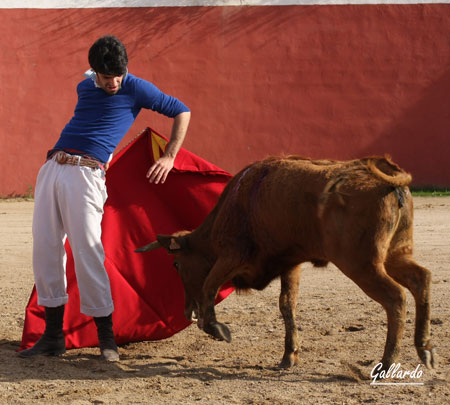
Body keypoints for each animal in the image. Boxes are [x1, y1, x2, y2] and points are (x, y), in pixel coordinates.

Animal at [134, 155, 436, 370]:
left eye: (176, 265)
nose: (188, 312)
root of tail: (388, 180)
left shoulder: (231, 256)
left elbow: (209, 286)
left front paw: (218, 329)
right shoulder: (291, 264)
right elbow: (287, 305)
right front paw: (289, 355)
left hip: (363, 265)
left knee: (396, 297)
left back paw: (387, 363)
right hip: (395, 255)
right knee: (421, 279)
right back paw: (425, 349)